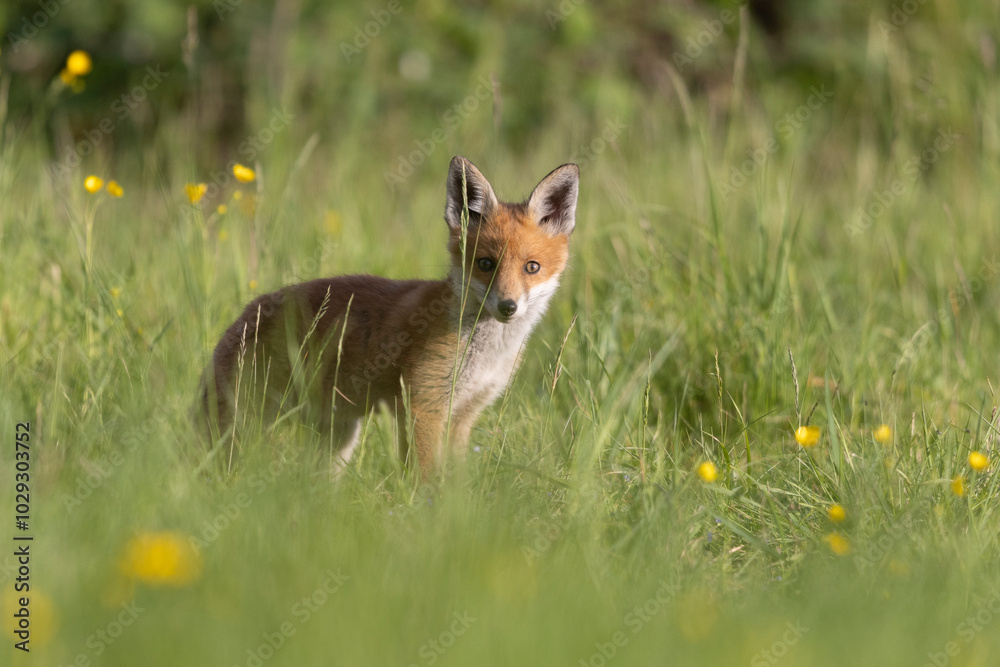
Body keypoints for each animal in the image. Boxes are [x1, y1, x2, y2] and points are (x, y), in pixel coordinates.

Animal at [200, 156, 579, 475]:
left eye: (532, 267)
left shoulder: (463, 415)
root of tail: (243, 317)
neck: (484, 353)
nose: (507, 307)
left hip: (336, 438)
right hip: (257, 428)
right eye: (485, 264)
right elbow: (425, 480)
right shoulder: (421, 407)